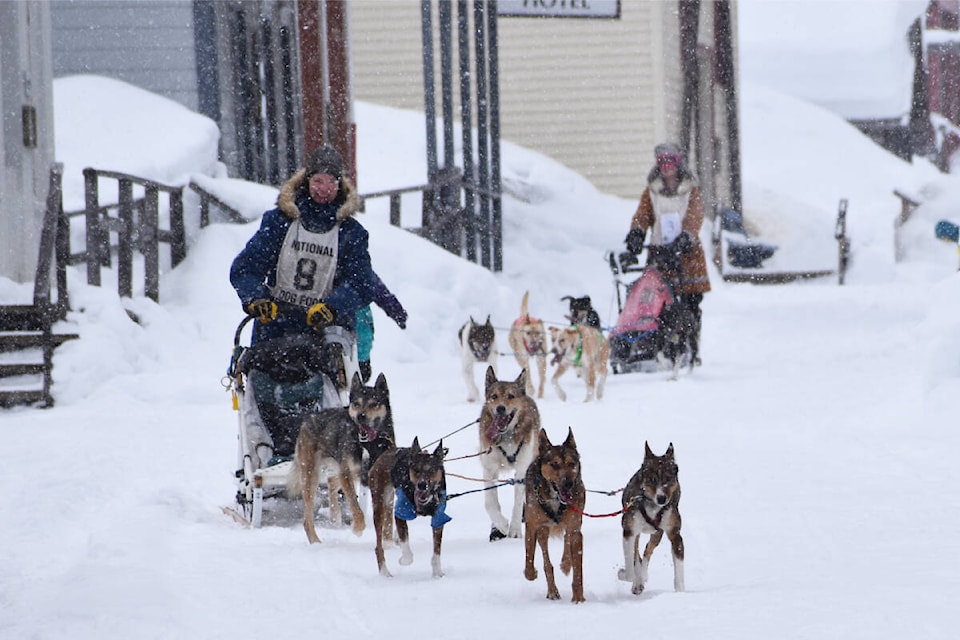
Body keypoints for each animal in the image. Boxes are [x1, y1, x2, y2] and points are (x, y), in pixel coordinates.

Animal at [286, 372, 396, 544]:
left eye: (374, 404)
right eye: (356, 404)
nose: (361, 416)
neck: (369, 444)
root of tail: (308, 418)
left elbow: (389, 518)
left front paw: (389, 542)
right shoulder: (347, 472)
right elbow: (355, 505)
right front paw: (358, 528)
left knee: (331, 482)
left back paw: (335, 515)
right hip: (311, 475)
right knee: (307, 517)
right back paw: (315, 541)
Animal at [368, 438, 450, 576]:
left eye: (432, 470)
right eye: (416, 470)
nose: (422, 485)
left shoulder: (438, 518)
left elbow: (437, 550)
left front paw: (437, 572)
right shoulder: (401, 513)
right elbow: (405, 542)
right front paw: (404, 559)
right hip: (380, 505)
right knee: (378, 546)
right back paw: (385, 572)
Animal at [478, 364, 540, 540]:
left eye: (511, 396)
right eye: (494, 396)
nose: (500, 408)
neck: (506, 437)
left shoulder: (521, 470)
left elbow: (518, 504)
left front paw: (515, 529)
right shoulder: (489, 469)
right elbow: (490, 503)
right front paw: (502, 525)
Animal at [524, 428, 584, 604]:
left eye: (572, 464)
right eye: (554, 464)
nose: (568, 483)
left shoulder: (575, 529)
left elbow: (578, 570)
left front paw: (579, 598)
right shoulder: (532, 526)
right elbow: (529, 556)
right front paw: (531, 573)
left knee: (567, 540)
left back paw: (565, 564)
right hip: (543, 531)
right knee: (546, 559)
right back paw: (552, 591)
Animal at [620, 442, 688, 592]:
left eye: (668, 479)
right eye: (652, 479)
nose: (661, 498)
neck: (652, 506)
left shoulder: (674, 534)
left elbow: (679, 566)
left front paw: (680, 591)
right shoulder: (630, 531)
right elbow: (631, 565)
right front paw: (633, 579)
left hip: (658, 533)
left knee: (648, 551)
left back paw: (643, 575)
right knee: (638, 554)